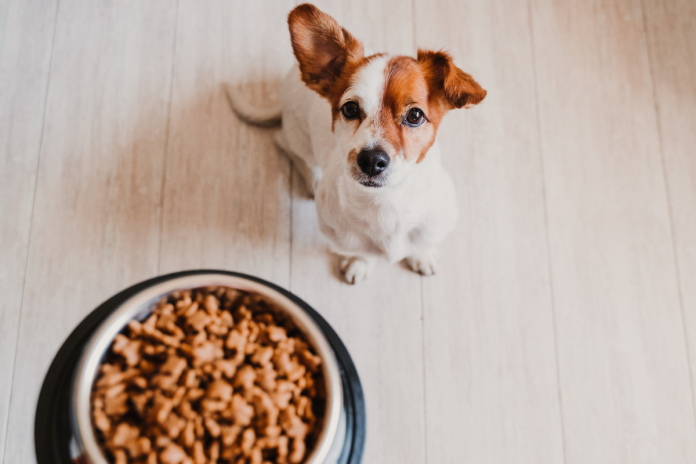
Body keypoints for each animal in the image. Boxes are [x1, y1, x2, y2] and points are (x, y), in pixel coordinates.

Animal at [226, 4, 486, 282]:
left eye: (415, 115)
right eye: (350, 109)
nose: (371, 160)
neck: (385, 203)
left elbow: (422, 243)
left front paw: (422, 255)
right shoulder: (341, 237)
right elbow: (361, 252)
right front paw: (359, 262)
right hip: (298, 140)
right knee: (285, 144)